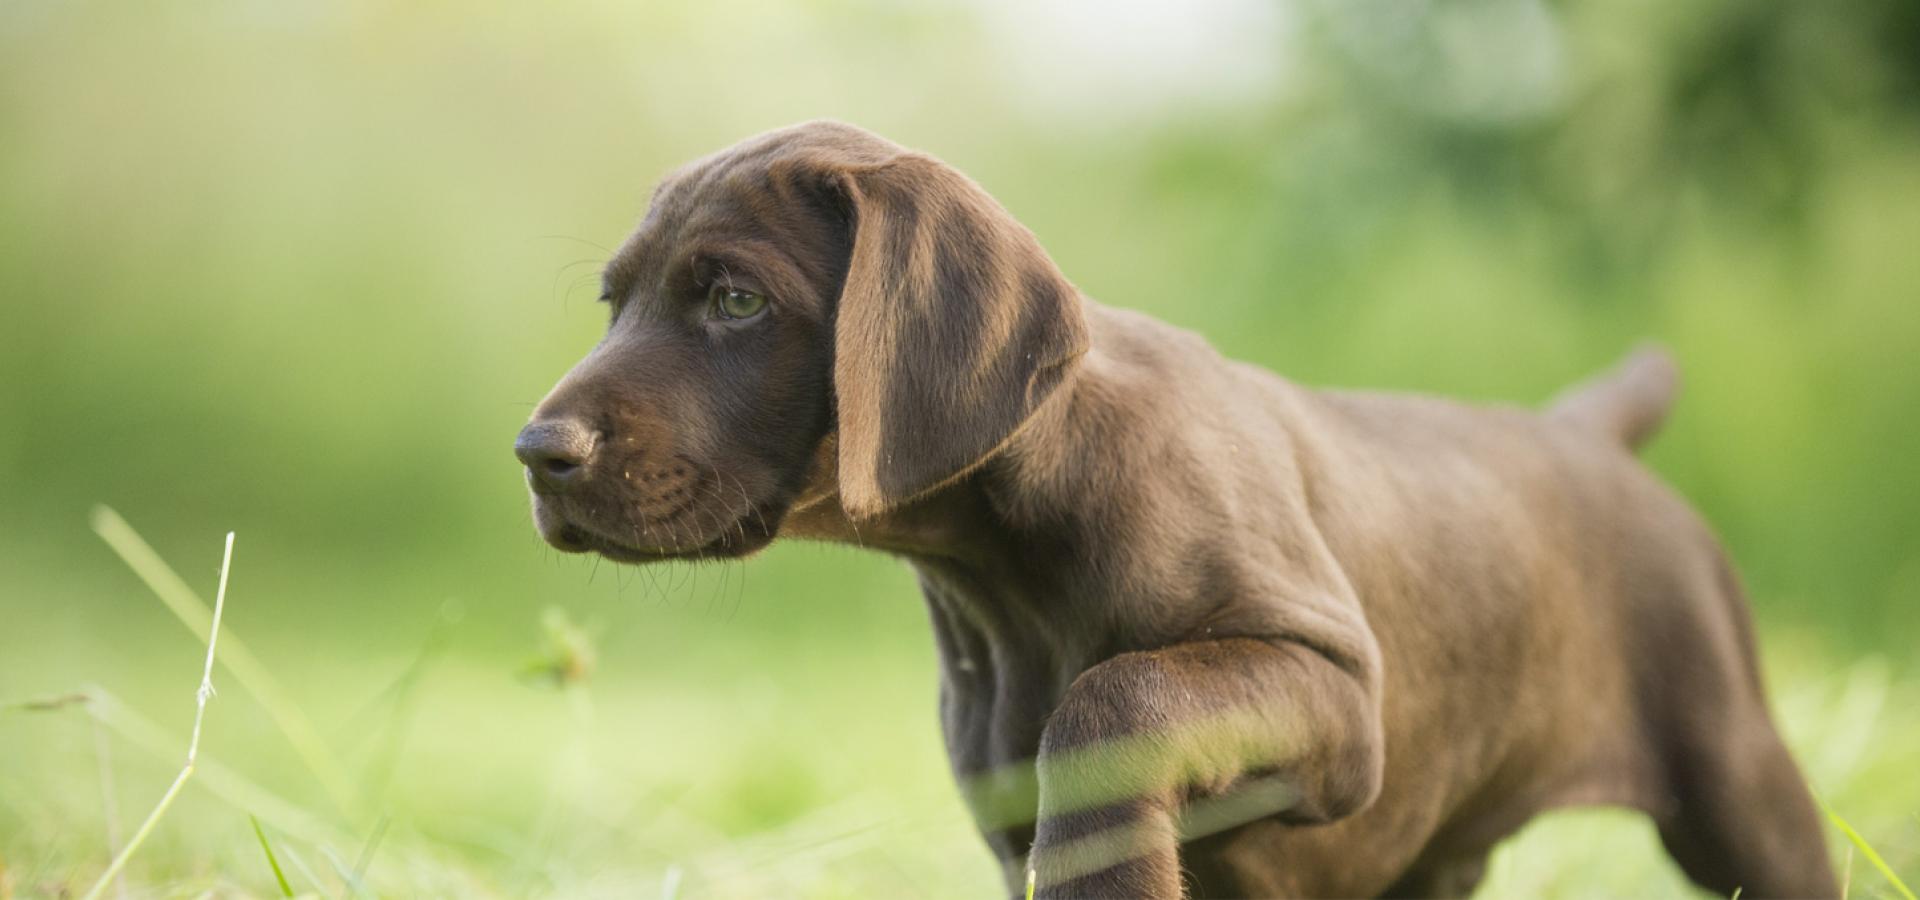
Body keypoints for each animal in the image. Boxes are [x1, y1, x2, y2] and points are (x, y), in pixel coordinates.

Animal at [518, 122, 1835, 894]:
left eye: (735, 300)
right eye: (616, 303)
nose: (537, 453)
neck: (1003, 573)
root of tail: (1582, 430)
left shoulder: (1339, 698)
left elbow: (1116, 702)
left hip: (1734, 774)